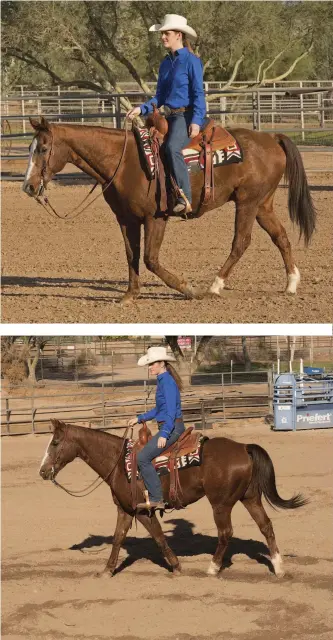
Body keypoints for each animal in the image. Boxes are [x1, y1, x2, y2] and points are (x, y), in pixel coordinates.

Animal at [23, 118, 314, 304]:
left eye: (44, 148)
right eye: (30, 148)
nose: (29, 186)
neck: (124, 161)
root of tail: (271, 137)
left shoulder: (156, 218)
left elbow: (150, 259)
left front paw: (188, 289)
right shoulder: (126, 220)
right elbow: (132, 255)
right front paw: (130, 295)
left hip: (247, 202)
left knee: (241, 242)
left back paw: (214, 286)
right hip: (262, 204)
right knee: (280, 237)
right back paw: (291, 283)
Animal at [38, 420, 306, 580]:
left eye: (55, 442)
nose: (42, 471)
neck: (119, 463)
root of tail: (243, 447)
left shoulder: (143, 511)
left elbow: (158, 537)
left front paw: (176, 566)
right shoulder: (125, 510)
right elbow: (117, 538)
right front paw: (107, 570)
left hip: (221, 504)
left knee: (226, 533)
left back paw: (212, 568)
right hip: (249, 498)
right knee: (266, 526)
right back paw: (279, 568)